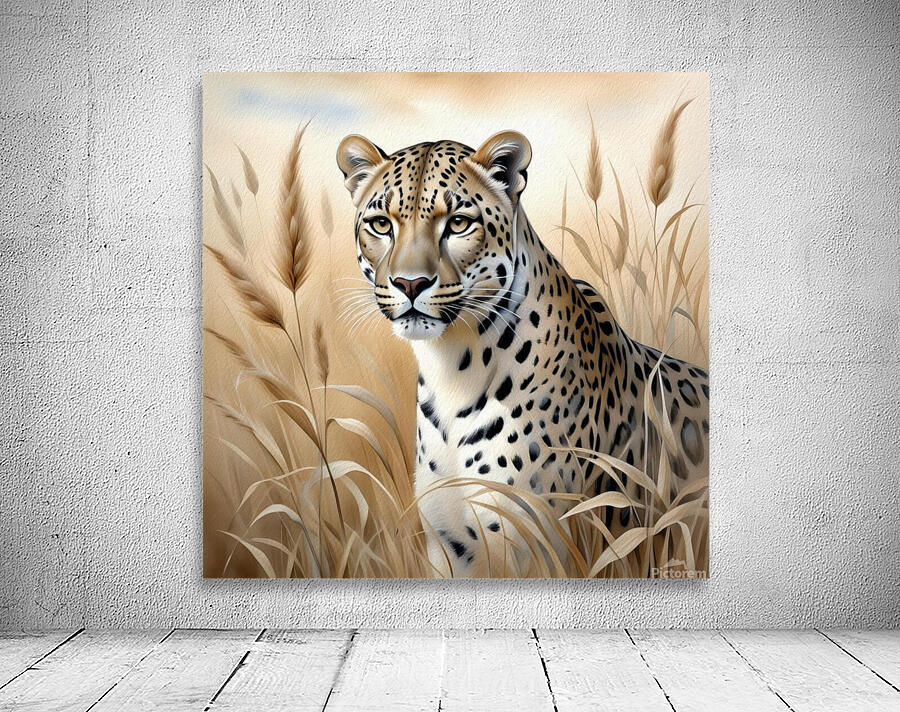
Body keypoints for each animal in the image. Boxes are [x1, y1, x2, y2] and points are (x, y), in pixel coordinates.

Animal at [336, 130, 709, 578]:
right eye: (381, 224)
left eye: (458, 223)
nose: (410, 284)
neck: (450, 370)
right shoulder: (448, 546)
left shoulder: (535, 546)